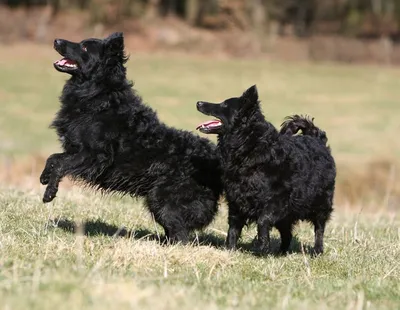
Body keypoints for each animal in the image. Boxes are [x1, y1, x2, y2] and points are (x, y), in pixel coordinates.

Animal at [41, 32, 222, 243]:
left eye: (85, 47)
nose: (56, 40)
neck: (99, 96)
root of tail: (215, 159)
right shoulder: (76, 151)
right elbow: (53, 158)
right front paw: (44, 177)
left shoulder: (94, 156)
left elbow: (61, 164)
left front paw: (49, 193)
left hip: (162, 200)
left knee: (180, 235)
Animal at [195, 85, 336, 254]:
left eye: (224, 105)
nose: (198, 102)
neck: (249, 145)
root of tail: (317, 139)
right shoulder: (236, 199)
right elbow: (233, 228)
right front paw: (230, 249)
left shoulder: (277, 201)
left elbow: (263, 220)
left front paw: (262, 246)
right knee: (287, 234)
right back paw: (281, 252)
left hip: (320, 204)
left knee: (319, 228)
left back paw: (317, 250)